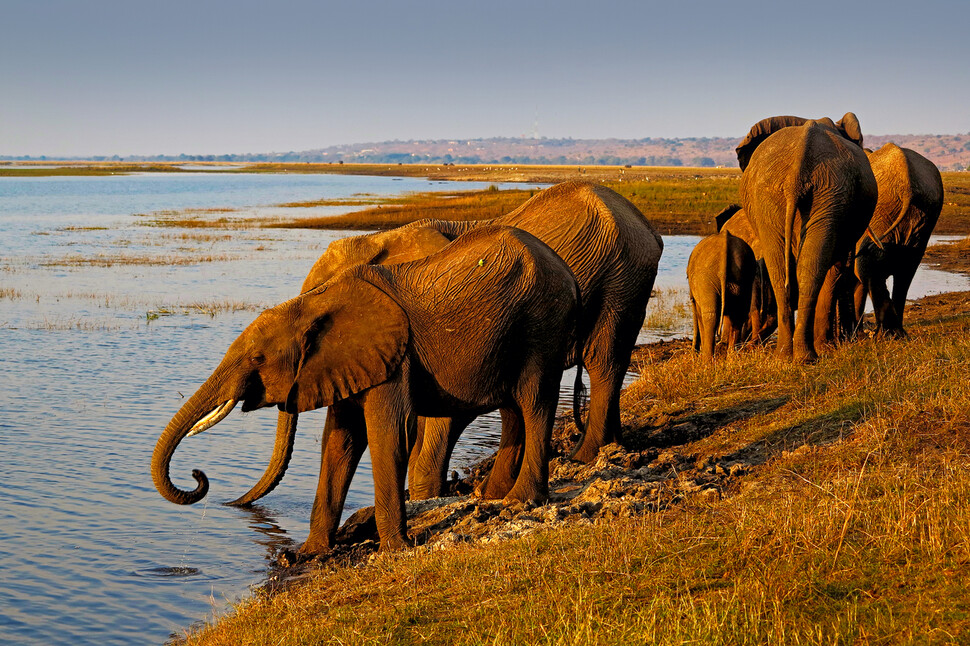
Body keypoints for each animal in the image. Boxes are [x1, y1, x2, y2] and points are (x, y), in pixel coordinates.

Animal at [147, 225, 580, 556]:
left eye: (257, 358)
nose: (199, 477)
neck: (313, 307)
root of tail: (566, 271)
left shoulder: (395, 359)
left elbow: (390, 434)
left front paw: (396, 551)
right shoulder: (349, 363)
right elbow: (339, 441)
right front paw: (308, 555)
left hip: (542, 322)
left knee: (534, 401)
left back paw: (520, 501)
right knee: (513, 409)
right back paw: (493, 498)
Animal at [231, 178, 660, 512]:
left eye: (319, 296)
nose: (233, 503)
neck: (385, 238)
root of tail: (647, 226)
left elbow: (442, 419)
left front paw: (423, 496)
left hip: (620, 277)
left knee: (602, 360)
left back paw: (584, 456)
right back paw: (608, 449)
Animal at [684, 230, 760, 360]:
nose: (694, 352)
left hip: (706, 280)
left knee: (710, 315)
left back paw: (707, 360)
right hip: (741, 277)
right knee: (738, 315)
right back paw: (731, 357)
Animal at [732, 113, 876, 362]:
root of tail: (798, 168)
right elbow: (839, 267)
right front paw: (831, 345)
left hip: (803, 193)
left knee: (785, 269)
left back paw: (790, 355)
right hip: (821, 191)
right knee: (809, 266)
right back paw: (806, 354)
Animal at [852, 144, 940, 336]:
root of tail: (908, 187)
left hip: (881, 211)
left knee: (866, 267)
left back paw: (884, 334)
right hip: (923, 218)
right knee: (906, 272)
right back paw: (896, 333)